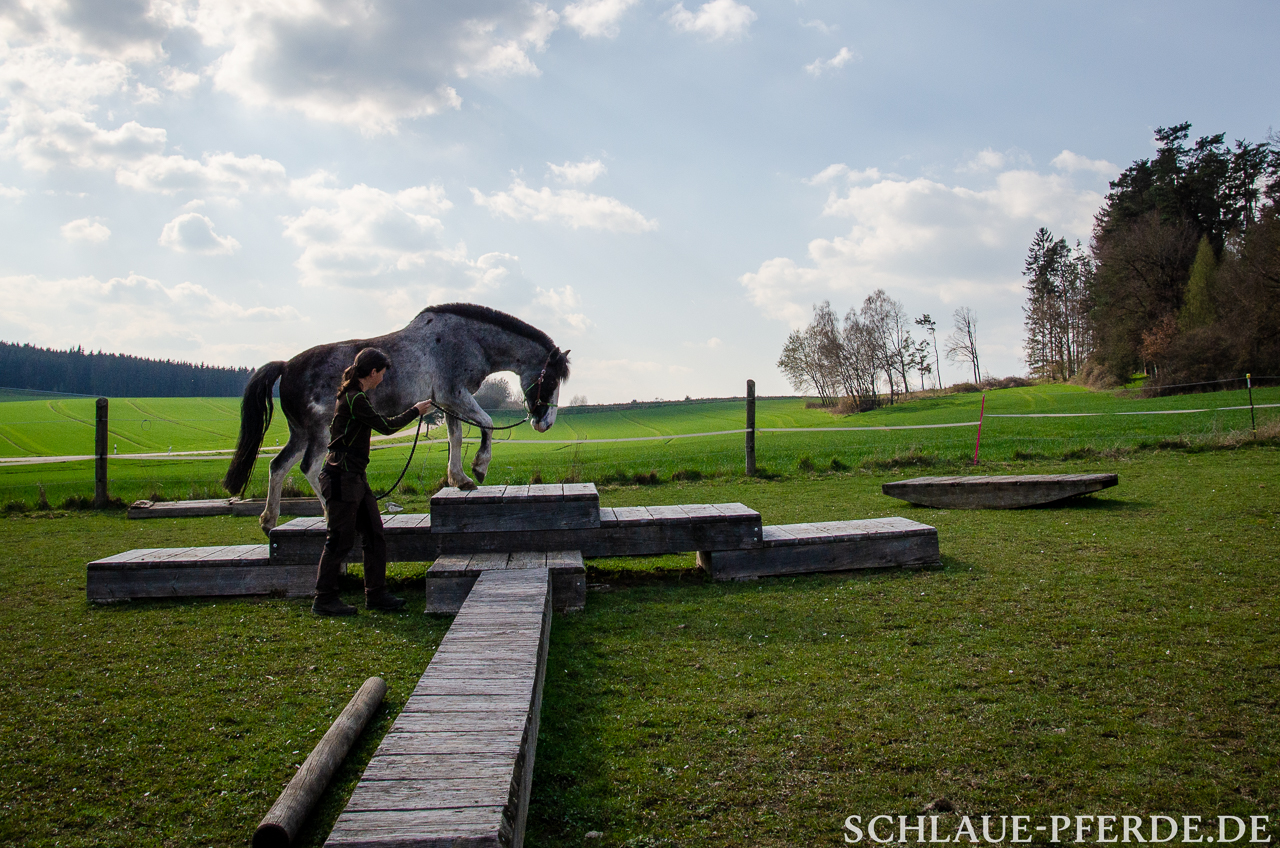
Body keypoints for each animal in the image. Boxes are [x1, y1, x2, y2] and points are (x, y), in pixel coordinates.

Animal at [222, 303, 570, 534]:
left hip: (301, 433)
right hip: (321, 432)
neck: (466, 340)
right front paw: (480, 467)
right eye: (551, 380)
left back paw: (268, 520)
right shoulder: (454, 394)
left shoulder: (446, 401)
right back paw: (329, 517)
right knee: (310, 467)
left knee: (277, 466)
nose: (544, 424)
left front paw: (459, 479)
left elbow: (456, 437)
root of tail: (286, 366)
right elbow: (485, 423)